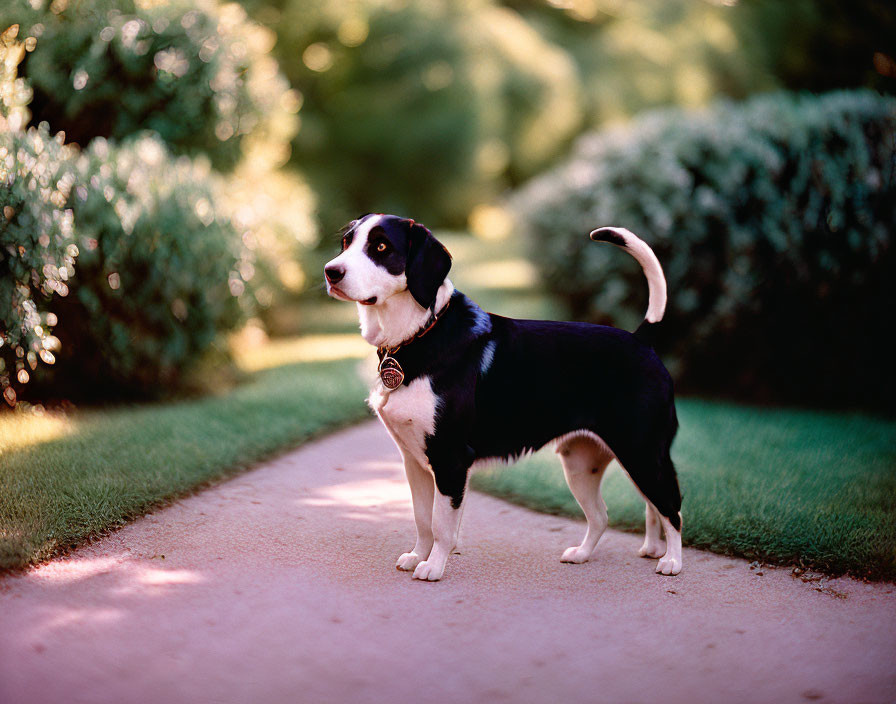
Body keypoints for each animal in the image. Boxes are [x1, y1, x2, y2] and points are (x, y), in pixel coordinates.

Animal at [326, 214, 684, 584]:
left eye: (381, 246)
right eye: (347, 242)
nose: (330, 272)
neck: (419, 334)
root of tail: (642, 339)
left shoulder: (451, 458)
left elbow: (441, 525)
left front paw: (434, 567)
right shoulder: (414, 460)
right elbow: (422, 519)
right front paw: (416, 557)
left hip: (642, 453)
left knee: (671, 508)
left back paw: (671, 560)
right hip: (585, 463)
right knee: (609, 514)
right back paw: (600, 552)